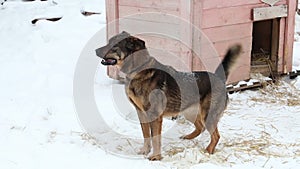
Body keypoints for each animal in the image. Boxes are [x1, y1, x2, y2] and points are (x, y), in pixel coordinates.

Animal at [96, 31, 241, 160]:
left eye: (113, 45)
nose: (96, 50)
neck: (139, 70)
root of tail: (219, 78)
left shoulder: (154, 116)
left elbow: (155, 138)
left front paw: (155, 157)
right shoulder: (141, 113)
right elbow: (146, 135)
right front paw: (145, 151)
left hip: (208, 115)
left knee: (215, 136)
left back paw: (208, 151)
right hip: (189, 112)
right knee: (200, 127)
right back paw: (188, 137)